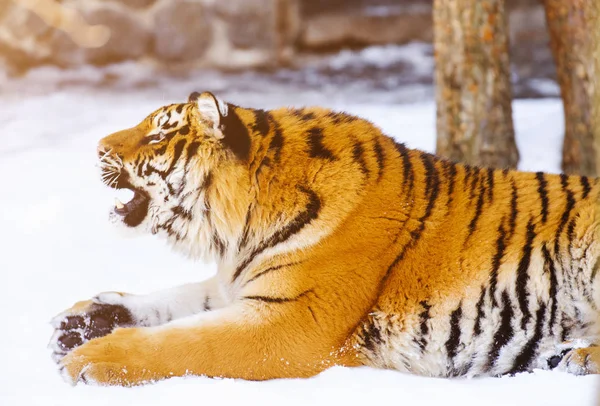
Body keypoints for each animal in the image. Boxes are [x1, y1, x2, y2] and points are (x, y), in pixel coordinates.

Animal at [49, 90, 600, 386]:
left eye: (158, 135)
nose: (96, 147)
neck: (237, 233)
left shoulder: (294, 321)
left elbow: (184, 341)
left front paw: (91, 358)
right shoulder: (243, 285)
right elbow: (176, 301)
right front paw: (80, 322)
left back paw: (580, 357)